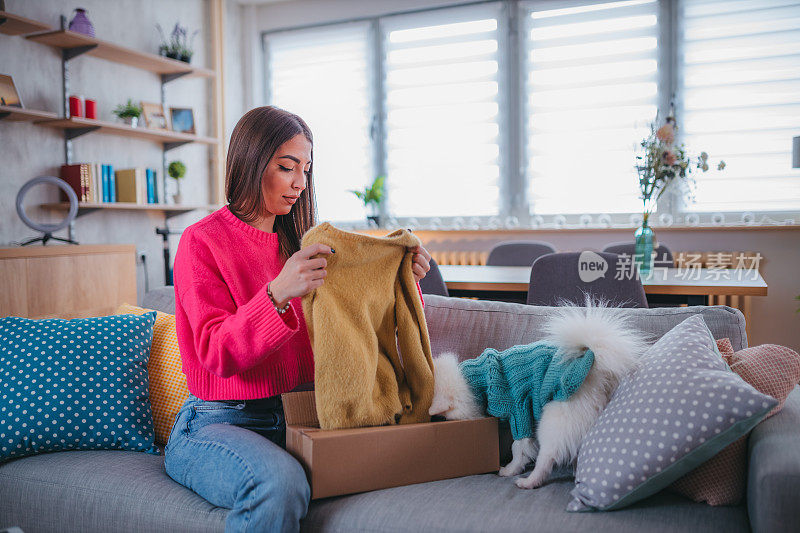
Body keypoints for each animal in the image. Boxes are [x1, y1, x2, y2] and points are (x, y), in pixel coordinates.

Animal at [428, 298, 648, 488]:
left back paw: (529, 481)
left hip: (554, 420)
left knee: (547, 457)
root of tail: (592, 367)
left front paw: (510, 469)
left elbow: (519, 448)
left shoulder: (519, 411)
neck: (477, 379)